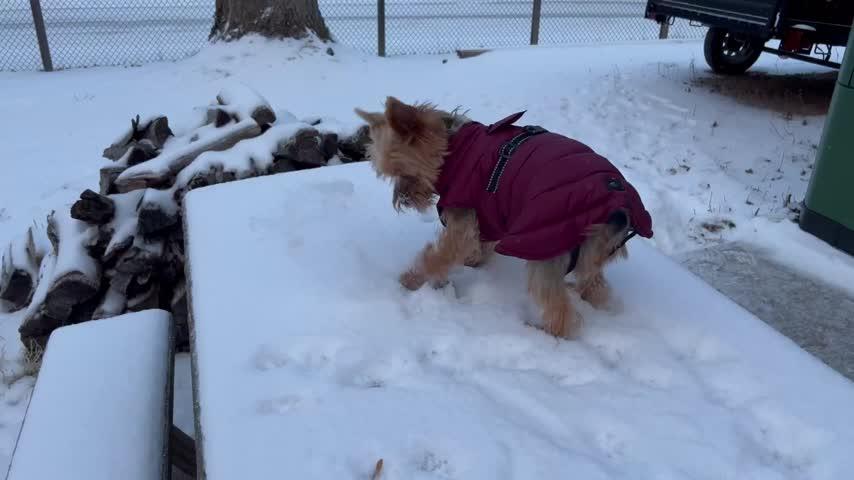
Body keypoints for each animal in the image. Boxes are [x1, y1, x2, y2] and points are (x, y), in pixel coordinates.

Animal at [354, 96, 656, 338]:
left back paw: (543, 332)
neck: (454, 146)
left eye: (403, 173)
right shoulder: (488, 214)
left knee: (561, 311)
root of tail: (619, 203)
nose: (402, 202)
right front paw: (474, 261)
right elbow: (480, 243)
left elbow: (440, 254)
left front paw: (410, 281)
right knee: (595, 286)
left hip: (546, 242)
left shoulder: (462, 218)